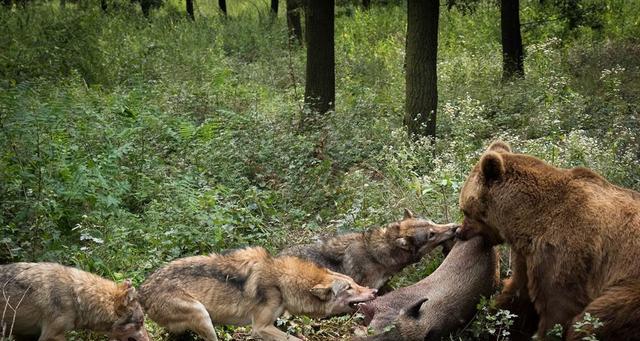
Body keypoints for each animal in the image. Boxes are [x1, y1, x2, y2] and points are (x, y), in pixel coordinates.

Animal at [138, 246, 378, 340]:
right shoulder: (260, 327)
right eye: (348, 288)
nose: (375, 291)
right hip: (202, 315)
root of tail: (141, 290)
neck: (282, 282)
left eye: (355, 283)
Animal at [456, 140, 640, 340]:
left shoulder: (563, 251)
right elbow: (517, 295)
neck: (527, 221)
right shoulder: (528, 256)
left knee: (596, 319)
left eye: (465, 210)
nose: (459, 232)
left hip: (629, 288)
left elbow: (558, 308)